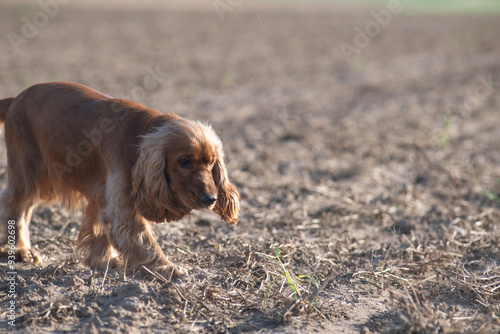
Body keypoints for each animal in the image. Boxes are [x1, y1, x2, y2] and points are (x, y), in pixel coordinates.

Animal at [0, 81, 239, 280]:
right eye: (184, 161)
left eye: (211, 162)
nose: (210, 198)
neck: (139, 139)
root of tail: (16, 98)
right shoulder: (122, 208)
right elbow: (143, 240)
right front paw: (165, 268)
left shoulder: (104, 196)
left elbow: (99, 231)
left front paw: (103, 261)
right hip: (30, 174)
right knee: (14, 204)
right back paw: (19, 249)